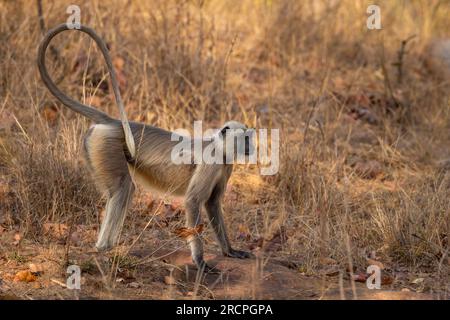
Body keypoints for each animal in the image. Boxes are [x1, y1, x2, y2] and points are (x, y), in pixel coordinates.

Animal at [37, 23, 255, 272]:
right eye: (244, 138)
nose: (249, 146)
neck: (220, 148)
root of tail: (113, 121)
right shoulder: (212, 162)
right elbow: (193, 201)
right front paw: (200, 261)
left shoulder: (226, 166)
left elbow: (212, 203)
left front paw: (229, 251)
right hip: (106, 144)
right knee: (124, 187)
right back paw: (105, 249)